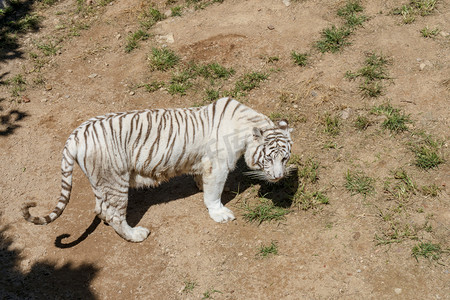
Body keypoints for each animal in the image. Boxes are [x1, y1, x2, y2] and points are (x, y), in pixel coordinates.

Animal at [22, 97, 294, 243]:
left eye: (285, 158)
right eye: (269, 159)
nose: (279, 176)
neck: (249, 125)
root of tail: (76, 135)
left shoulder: (203, 162)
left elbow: (201, 180)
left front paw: (201, 187)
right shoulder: (217, 164)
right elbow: (214, 193)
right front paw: (219, 213)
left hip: (101, 181)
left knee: (101, 208)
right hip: (115, 180)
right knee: (114, 213)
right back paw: (136, 235)